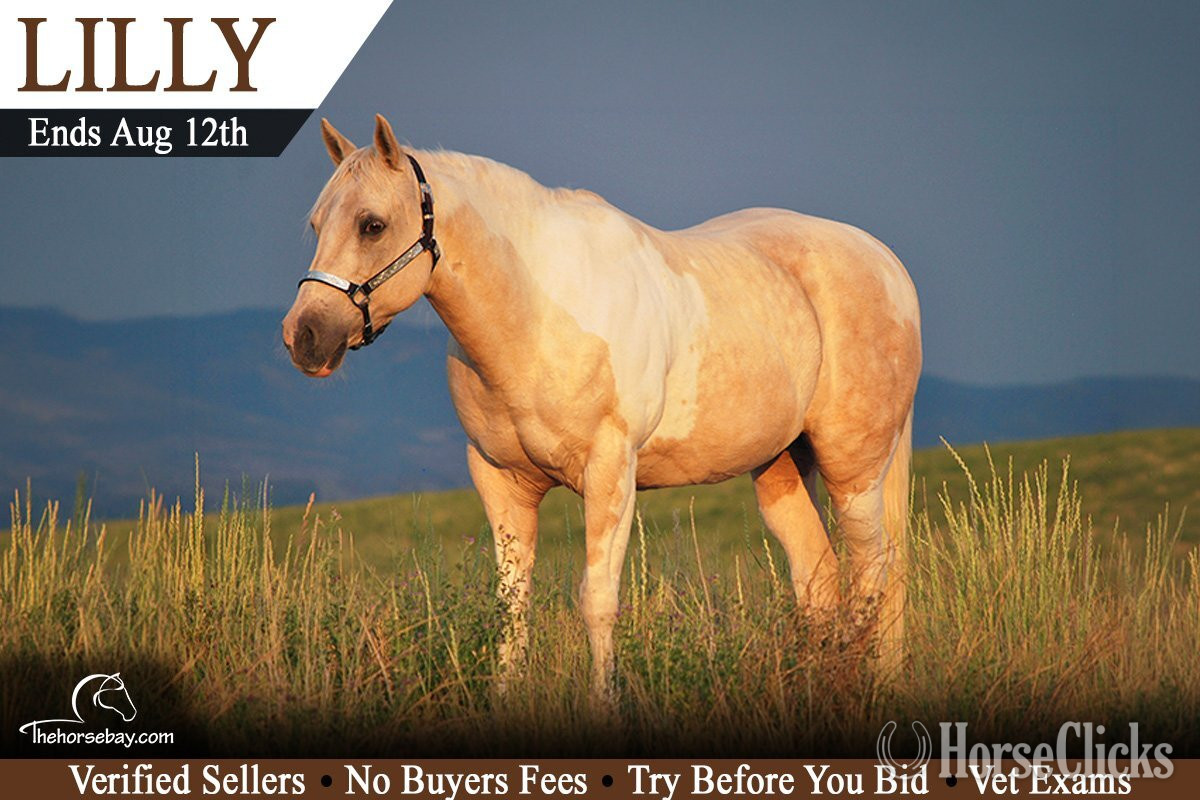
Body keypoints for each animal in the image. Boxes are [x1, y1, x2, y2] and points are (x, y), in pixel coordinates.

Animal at [282, 115, 921, 701]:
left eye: (372, 225)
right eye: (315, 224)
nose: (303, 336)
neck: (537, 312)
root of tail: (885, 261)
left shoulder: (610, 471)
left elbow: (597, 602)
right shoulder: (499, 480)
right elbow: (511, 608)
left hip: (854, 469)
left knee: (876, 573)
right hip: (783, 469)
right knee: (819, 583)